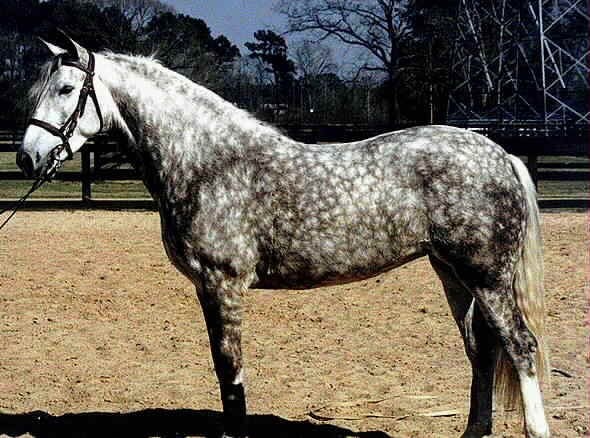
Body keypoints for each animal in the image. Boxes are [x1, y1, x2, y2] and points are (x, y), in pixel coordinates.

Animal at [18, 38, 552, 438]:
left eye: (66, 88)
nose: (27, 157)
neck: (208, 164)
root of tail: (500, 153)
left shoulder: (221, 284)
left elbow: (230, 372)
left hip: (487, 275)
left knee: (520, 346)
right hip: (453, 273)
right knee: (482, 350)